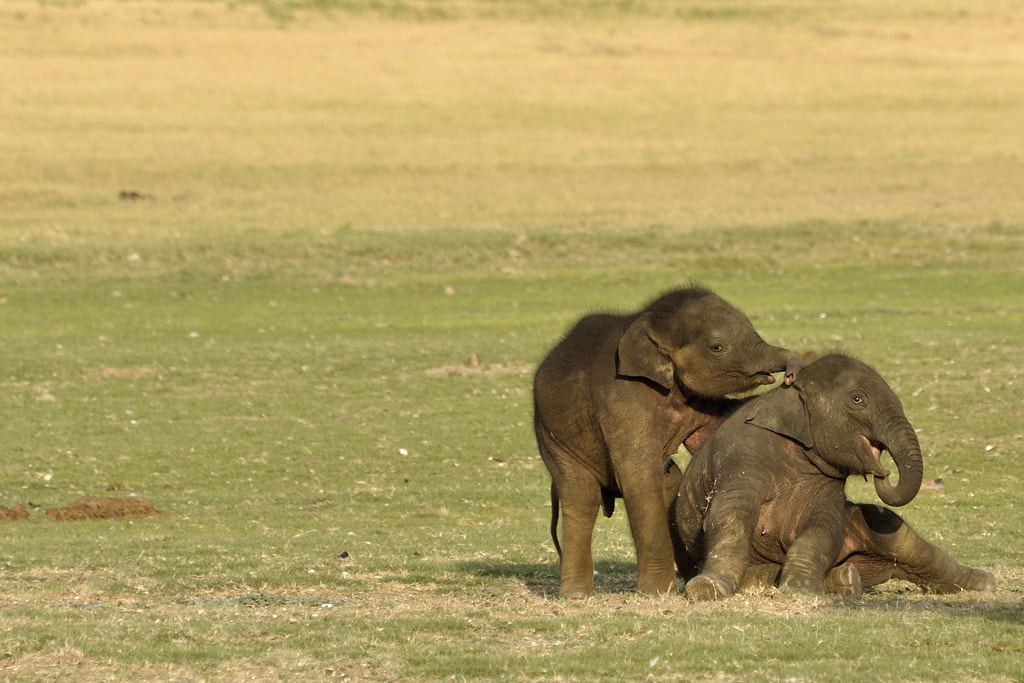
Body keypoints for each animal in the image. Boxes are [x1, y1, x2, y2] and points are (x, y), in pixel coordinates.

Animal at [532, 286, 802, 598]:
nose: (791, 374)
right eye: (717, 347)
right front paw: (657, 592)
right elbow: (638, 478)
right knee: (581, 497)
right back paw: (577, 595)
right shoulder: (623, 401)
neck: (648, 323)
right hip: (552, 437)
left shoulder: (698, 401)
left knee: (670, 482)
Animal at [659, 352, 995, 598]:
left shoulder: (828, 488)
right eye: (858, 400)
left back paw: (984, 582)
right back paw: (846, 579)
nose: (885, 473)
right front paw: (707, 588)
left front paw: (800, 590)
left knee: (903, 541)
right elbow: (729, 516)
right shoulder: (741, 456)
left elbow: (823, 527)